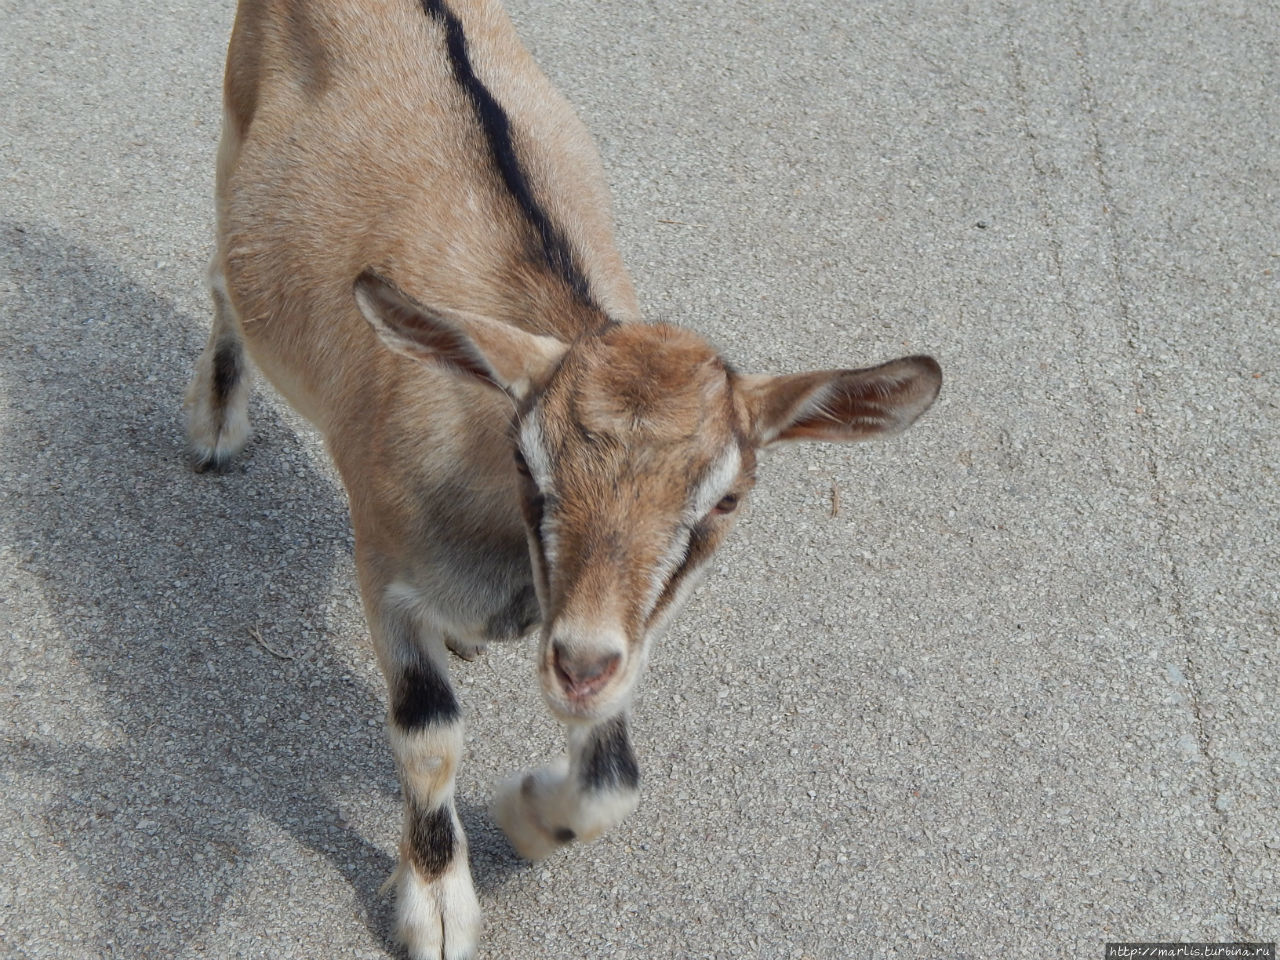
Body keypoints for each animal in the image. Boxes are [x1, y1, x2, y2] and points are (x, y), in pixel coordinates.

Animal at [185, 1, 942, 960]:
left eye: (725, 500)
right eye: (528, 462)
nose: (578, 668)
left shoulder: (616, 623)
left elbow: (613, 775)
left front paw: (530, 813)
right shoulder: (384, 569)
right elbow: (429, 736)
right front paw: (438, 900)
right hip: (231, 134)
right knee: (222, 272)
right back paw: (215, 423)